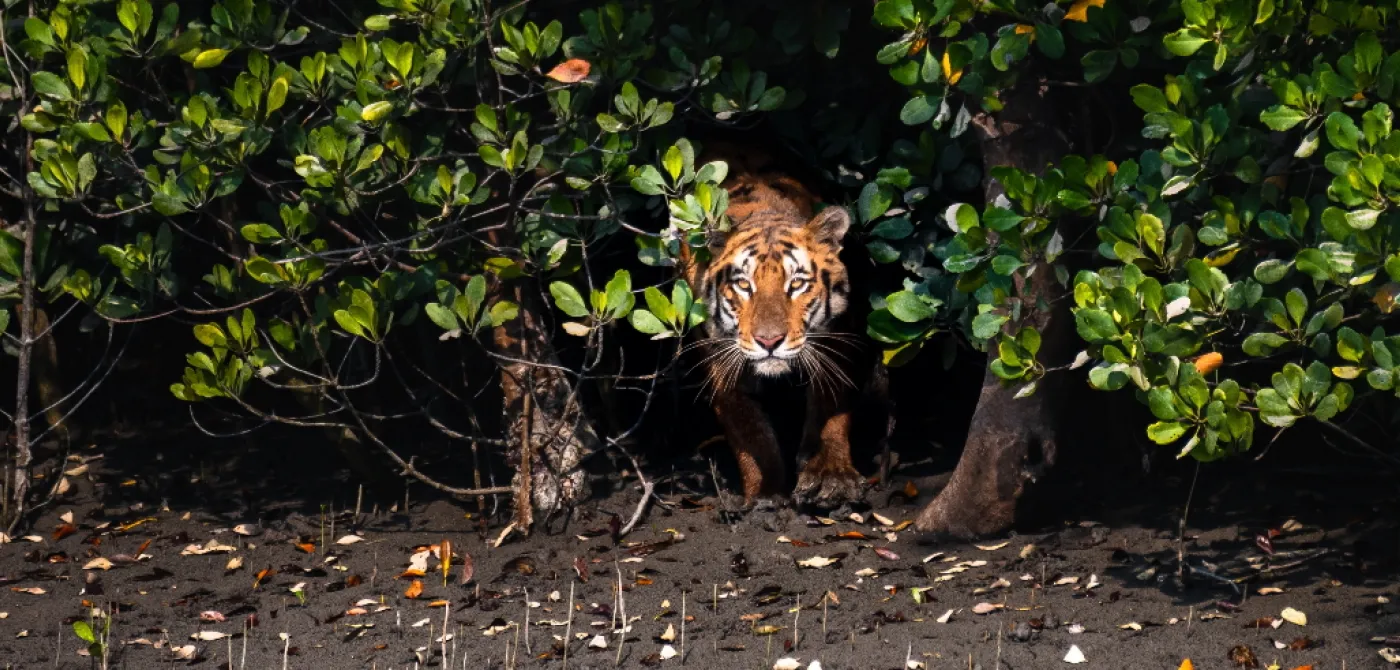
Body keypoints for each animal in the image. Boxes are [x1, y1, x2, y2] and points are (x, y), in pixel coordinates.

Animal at [677, 142, 884, 509]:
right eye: (743, 285)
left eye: (797, 283)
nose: (769, 341)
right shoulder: (722, 358)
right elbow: (750, 428)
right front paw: (766, 495)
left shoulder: (836, 340)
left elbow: (830, 404)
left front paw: (830, 477)